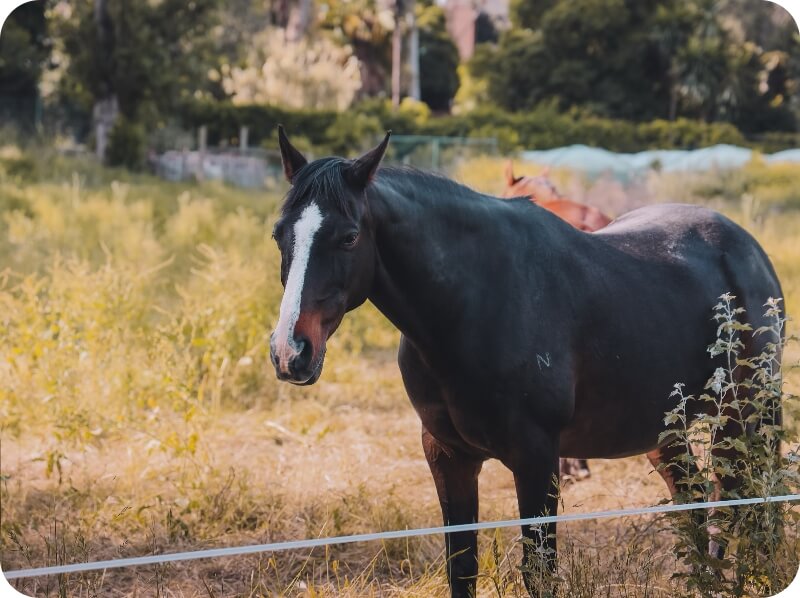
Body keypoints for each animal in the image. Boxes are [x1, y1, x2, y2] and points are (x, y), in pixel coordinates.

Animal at [269, 128, 783, 598]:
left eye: (349, 237)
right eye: (279, 235)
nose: (290, 351)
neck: (473, 302)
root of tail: (748, 248)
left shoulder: (536, 459)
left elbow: (539, 572)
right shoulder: (446, 454)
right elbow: (462, 569)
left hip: (742, 418)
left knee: (742, 501)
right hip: (663, 429)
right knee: (696, 500)